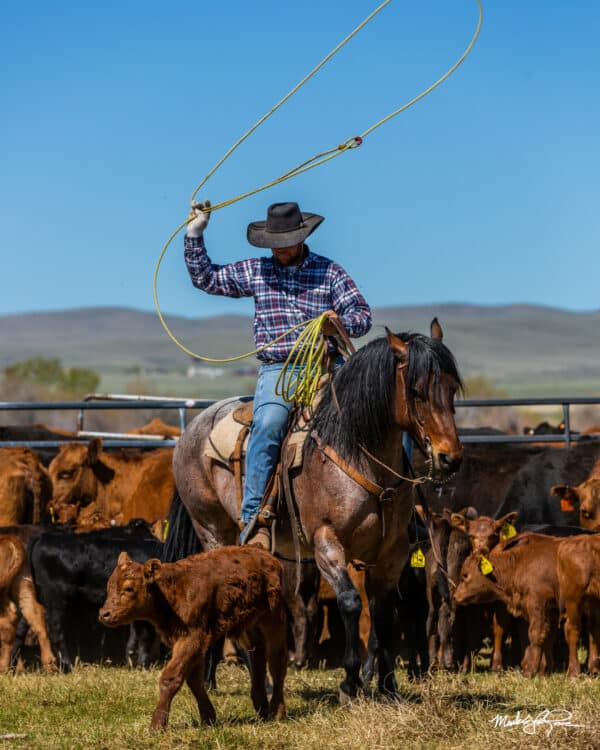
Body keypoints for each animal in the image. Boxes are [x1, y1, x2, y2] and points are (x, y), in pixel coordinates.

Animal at [29, 522, 162, 671]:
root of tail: (43, 538)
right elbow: (145, 635)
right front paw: (143, 666)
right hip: (56, 598)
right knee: (56, 631)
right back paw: (67, 666)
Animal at [99, 546, 288, 729]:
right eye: (109, 586)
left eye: (129, 588)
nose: (104, 614)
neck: (172, 591)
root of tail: (263, 553)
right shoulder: (190, 642)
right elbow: (193, 679)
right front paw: (208, 717)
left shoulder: (192, 638)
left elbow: (171, 677)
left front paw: (157, 724)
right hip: (249, 627)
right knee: (257, 658)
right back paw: (262, 709)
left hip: (273, 622)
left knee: (277, 664)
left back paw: (277, 712)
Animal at [453, 533, 561, 677]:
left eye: (465, 575)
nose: (455, 596)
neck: (521, 561)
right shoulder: (551, 612)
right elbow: (548, 637)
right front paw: (544, 670)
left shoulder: (539, 604)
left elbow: (536, 635)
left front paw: (530, 670)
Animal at [556, 534, 600, 677]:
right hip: (573, 598)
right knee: (572, 629)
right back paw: (574, 673)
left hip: (593, 599)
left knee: (593, 628)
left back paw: (595, 668)